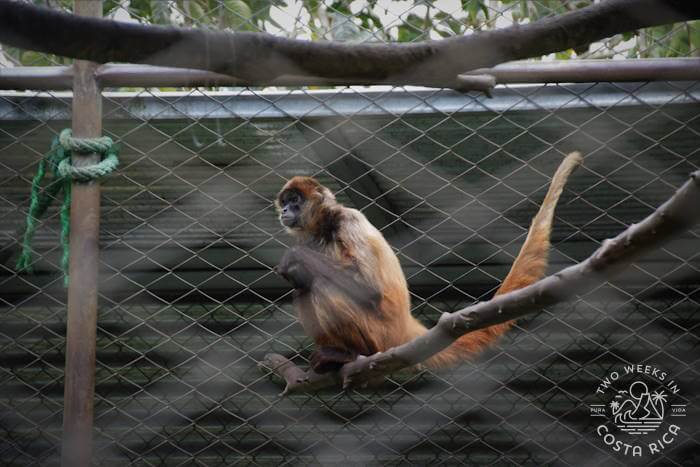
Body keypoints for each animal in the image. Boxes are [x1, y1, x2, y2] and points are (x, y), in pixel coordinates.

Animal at [275, 152, 582, 373]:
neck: (323, 227)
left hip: (377, 333)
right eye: (285, 202)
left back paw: (346, 354)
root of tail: (403, 326)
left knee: (321, 286)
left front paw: (293, 257)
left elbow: (370, 290)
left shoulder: (348, 219)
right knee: (303, 288)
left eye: (296, 201)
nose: (285, 211)